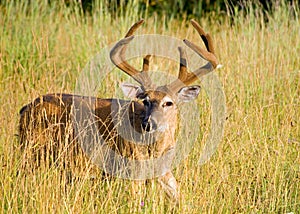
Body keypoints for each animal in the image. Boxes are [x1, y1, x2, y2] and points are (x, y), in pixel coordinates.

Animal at [19, 19, 219, 203]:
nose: (148, 124)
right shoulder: (131, 168)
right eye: (145, 100)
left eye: (168, 103)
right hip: (32, 151)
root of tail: (26, 108)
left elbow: (180, 197)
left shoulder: (163, 170)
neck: (154, 149)